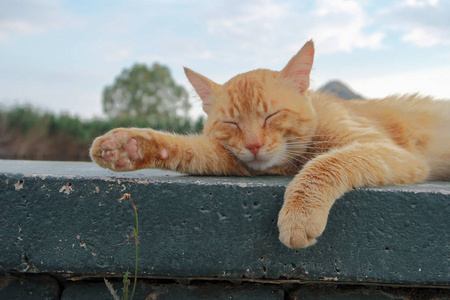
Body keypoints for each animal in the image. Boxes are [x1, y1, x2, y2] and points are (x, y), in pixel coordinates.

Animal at [90, 41, 450, 250]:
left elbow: (326, 163)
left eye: (271, 115)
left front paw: (300, 215)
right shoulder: (237, 161)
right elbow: (191, 150)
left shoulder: (390, 152)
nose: (253, 145)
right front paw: (129, 147)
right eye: (232, 123)